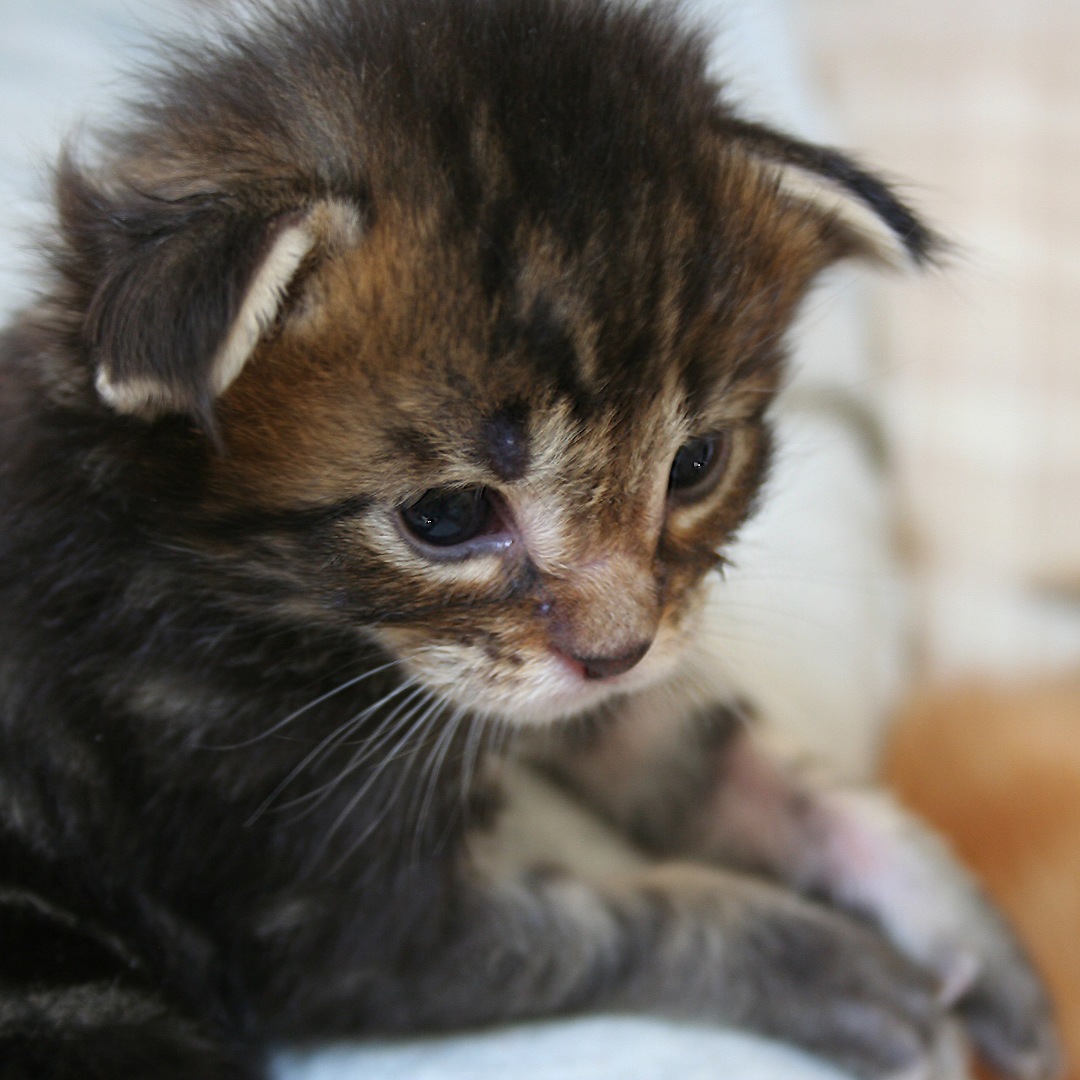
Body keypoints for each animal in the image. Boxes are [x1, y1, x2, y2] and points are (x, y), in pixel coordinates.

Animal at [0, 2, 1062, 1080]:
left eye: (695, 464)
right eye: (447, 517)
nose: (617, 653)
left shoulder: (564, 666)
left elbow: (721, 749)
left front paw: (956, 915)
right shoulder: (323, 912)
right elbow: (626, 927)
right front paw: (833, 970)